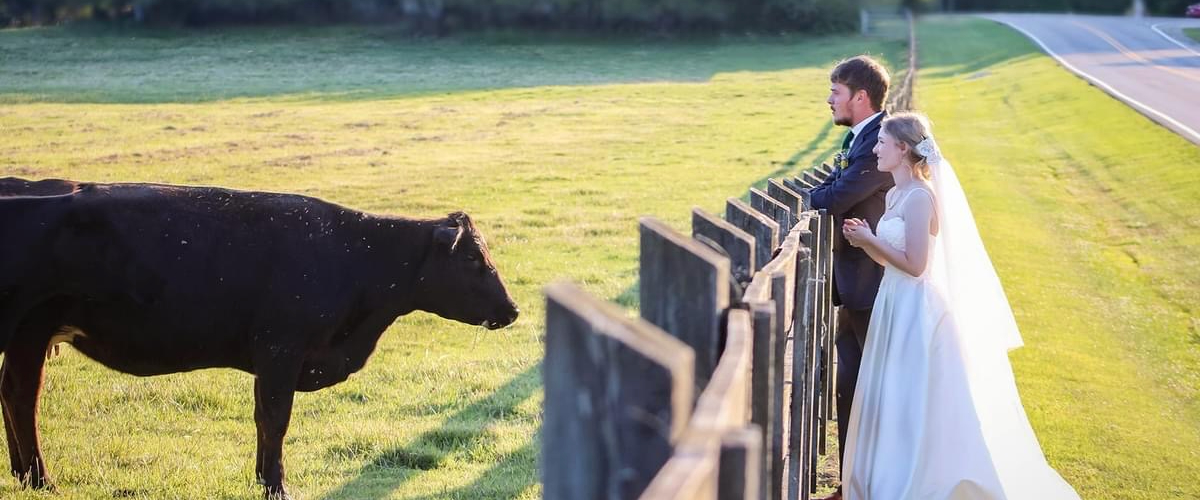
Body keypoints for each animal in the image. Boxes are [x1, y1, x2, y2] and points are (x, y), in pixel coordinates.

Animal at [0, 178, 520, 494]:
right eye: (473, 258)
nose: (512, 310)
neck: (352, 256)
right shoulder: (280, 350)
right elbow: (273, 419)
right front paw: (275, 485)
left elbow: (264, 420)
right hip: (28, 330)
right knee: (23, 397)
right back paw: (40, 479)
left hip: (29, 337)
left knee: (13, 394)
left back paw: (25, 477)